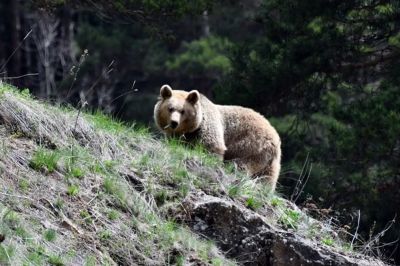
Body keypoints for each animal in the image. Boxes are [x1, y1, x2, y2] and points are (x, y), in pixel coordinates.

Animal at [153, 84, 282, 190]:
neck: (191, 129)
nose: (174, 123)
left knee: (240, 165)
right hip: (269, 163)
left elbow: (212, 146)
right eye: (170, 108)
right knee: (267, 178)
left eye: (183, 111)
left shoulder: (206, 127)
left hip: (249, 145)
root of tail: (275, 138)